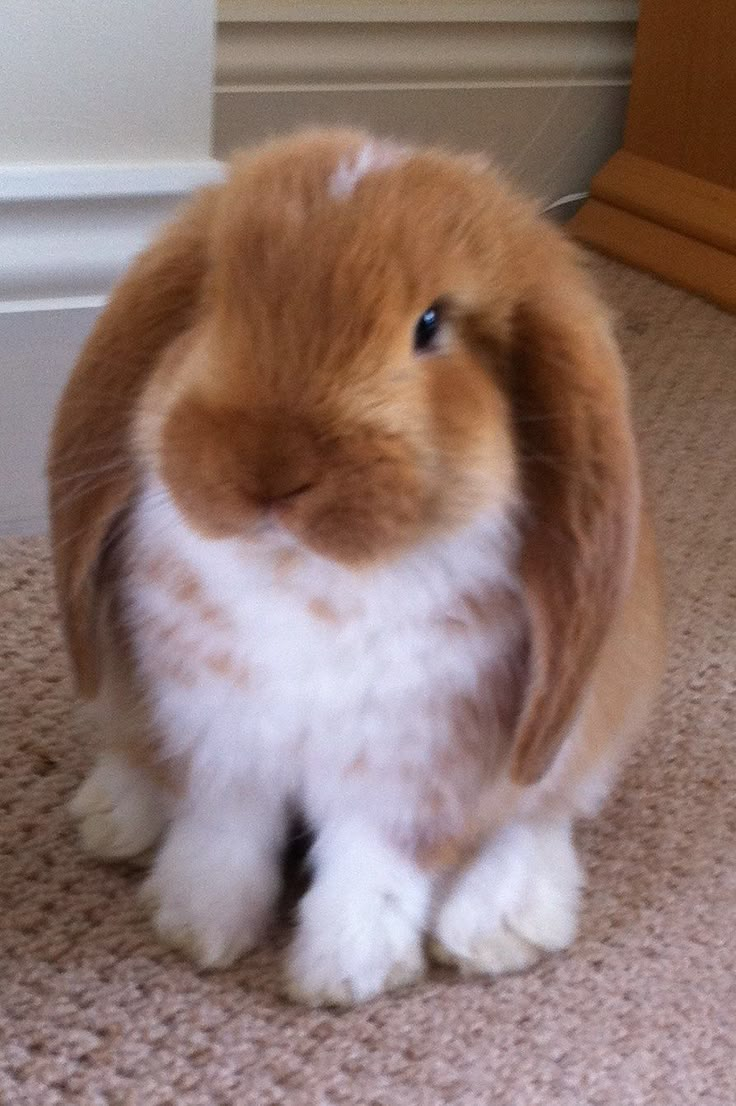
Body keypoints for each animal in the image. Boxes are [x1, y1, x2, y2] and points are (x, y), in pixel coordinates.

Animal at [48, 127, 664, 1004]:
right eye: (214, 300)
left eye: (430, 324)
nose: (268, 469)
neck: (303, 577)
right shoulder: (221, 739)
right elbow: (222, 833)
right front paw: (197, 924)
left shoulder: (411, 774)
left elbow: (372, 871)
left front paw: (344, 973)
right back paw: (113, 816)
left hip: (584, 719)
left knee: (543, 813)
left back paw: (496, 928)